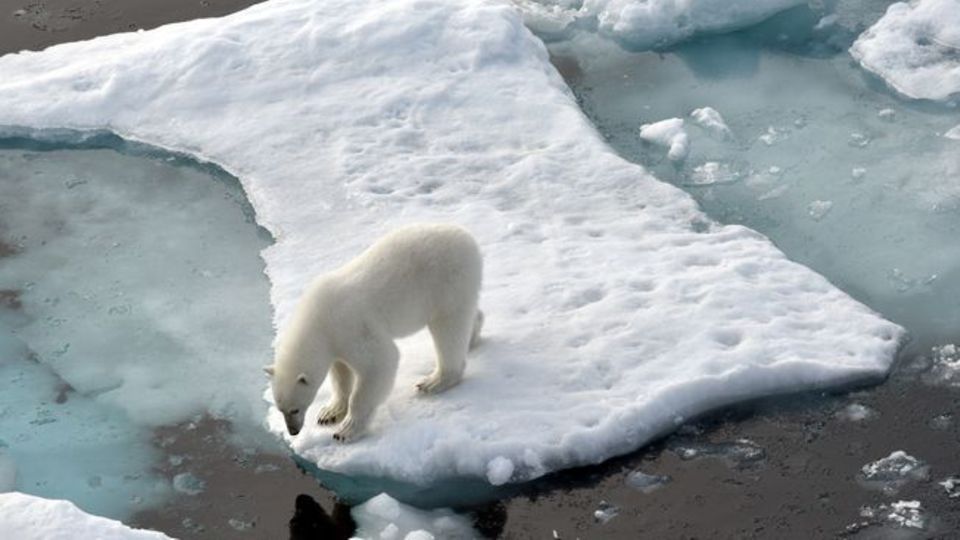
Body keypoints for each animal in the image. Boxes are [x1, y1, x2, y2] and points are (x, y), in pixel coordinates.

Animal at [264, 221, 484, 440]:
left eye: (295, 408)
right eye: (280, 409)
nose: (293, 431)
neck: (318, 319)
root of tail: (467, 238)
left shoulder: (350, 326)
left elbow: (380, 362)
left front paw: (346, 429)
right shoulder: (334, 340)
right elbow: (341, 373)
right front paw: (329, 413)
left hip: (447, 280)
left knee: (449, 328)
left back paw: (434, 381)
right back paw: (472, 337)